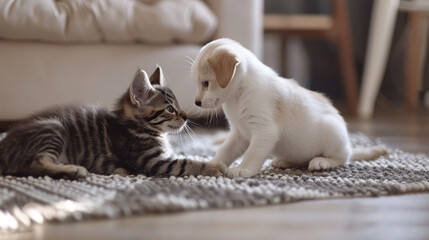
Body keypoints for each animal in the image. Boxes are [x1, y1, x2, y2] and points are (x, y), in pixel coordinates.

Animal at [0, 66, 227, 179]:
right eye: (170, 109)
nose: (187, 116)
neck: (136, 127)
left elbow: (184, 156)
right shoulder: (151, 161)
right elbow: (185, 163)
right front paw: (213, 167)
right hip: (54, 128)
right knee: (32, 164)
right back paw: (73, 170)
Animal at [192, 38, 386, 177]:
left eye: (206, 83)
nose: (196, 103)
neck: (237, 96)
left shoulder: (264, 131)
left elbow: (252, 153)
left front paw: (243, 169)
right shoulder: (239, 134)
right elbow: (225, 150)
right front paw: (211, 165)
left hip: (331, 131)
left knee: (342, 158)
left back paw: (321, 161)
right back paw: (284, 161)